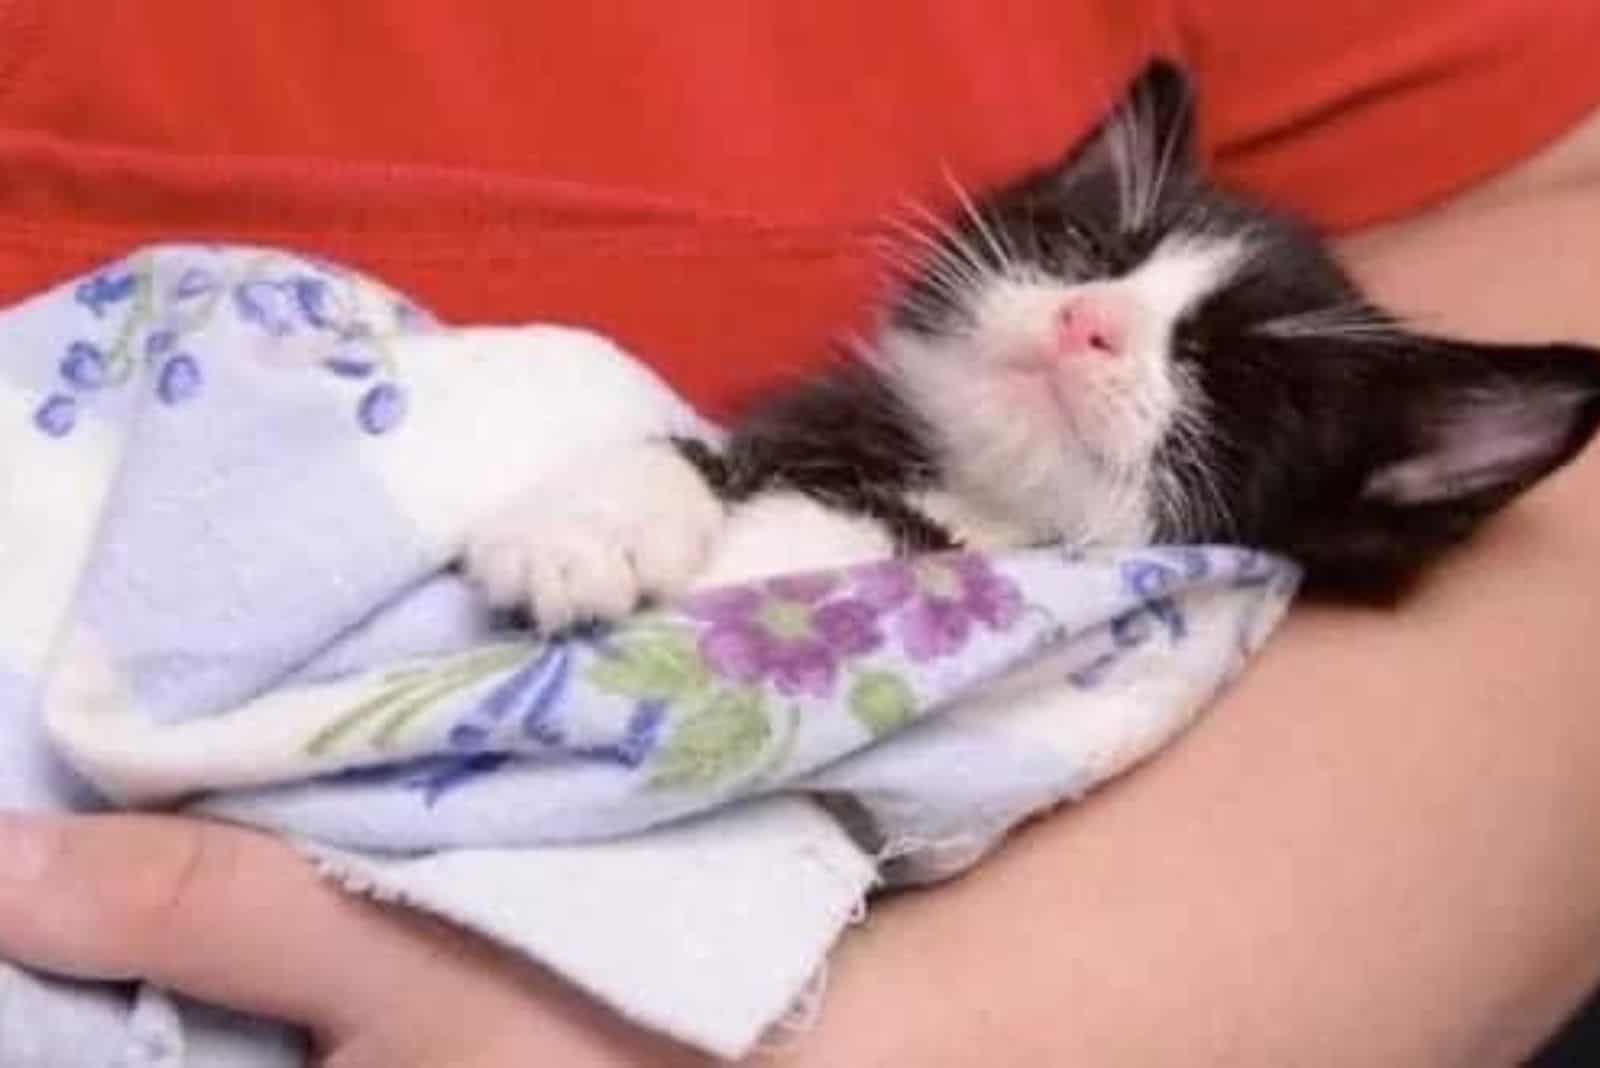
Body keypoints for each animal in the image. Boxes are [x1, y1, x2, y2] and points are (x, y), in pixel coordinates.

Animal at [464, 58, 1600, 626]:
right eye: (1091, 246)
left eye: (1236, 376)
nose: (1087, 321)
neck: (968, 488)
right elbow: (720, 449)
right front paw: (584, 533)